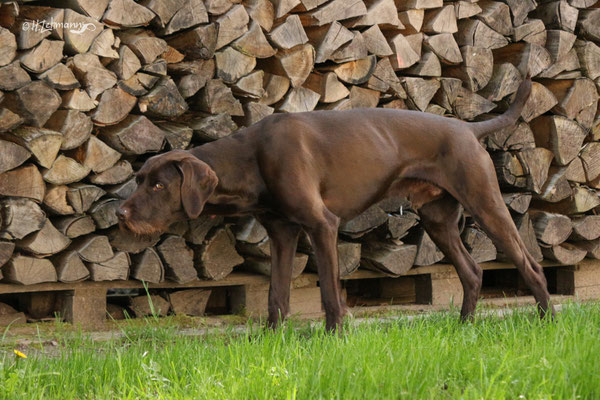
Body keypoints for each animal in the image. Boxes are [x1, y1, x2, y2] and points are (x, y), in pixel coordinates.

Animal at [117, 78, 552, 332]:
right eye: (139, 180)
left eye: (158, 185)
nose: (120, 214)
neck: (251, 158)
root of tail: (467, 127)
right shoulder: (282, 233)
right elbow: (276, 295)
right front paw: (271, 340)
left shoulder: (321, 224)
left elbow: (328, 290)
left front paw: (334, 336)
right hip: (438, 219)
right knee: (473, 271)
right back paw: (464, 327)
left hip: (485, 203)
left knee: (530, 264)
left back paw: (546, 322)